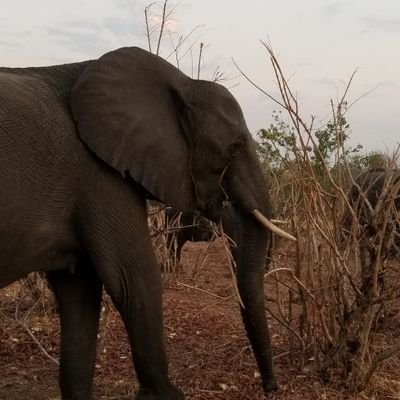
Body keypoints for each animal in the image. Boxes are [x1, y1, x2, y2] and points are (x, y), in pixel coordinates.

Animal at [0, 45, 294, 398]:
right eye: (235, 146)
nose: (271, 387)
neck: (180, 81)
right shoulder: (101, 177)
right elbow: (135, 278)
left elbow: (80, 294)